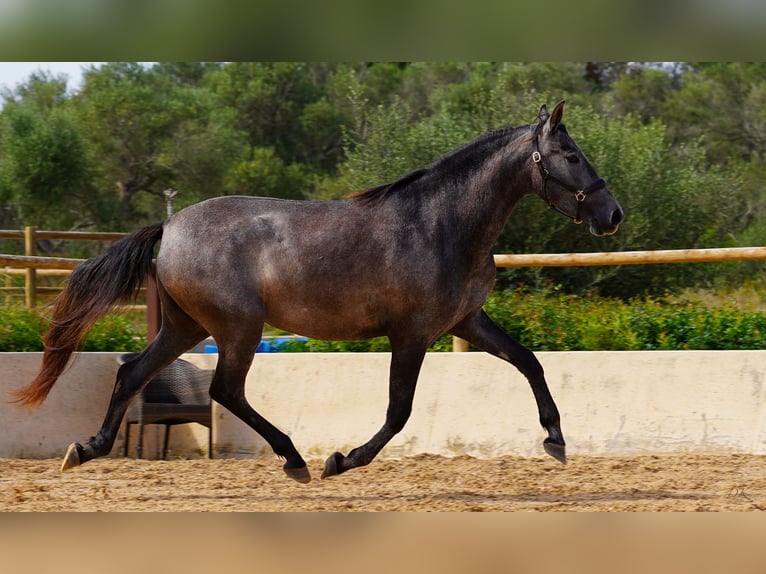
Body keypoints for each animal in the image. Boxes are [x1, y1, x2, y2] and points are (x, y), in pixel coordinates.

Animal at [12, 101, 624, 484]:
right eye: (572, 156)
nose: (612, 214)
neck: (441, 223)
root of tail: (169, 226)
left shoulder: (464, 322)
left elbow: (529, 360)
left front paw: (556, 439)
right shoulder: (412, 334)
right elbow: (399, 411)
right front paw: (342, 460)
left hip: (188, 326)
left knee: (134, 373)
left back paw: (84, 450)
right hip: (237, 328)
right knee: (224, 390)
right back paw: (295, 460)